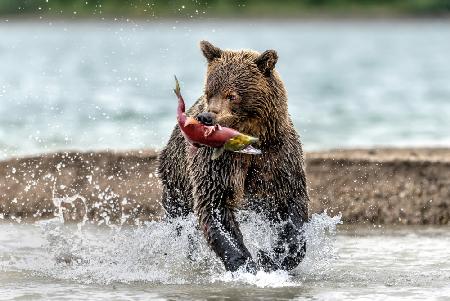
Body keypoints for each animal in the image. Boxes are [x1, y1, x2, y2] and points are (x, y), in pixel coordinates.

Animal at [158, 40, 310, 272]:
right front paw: (245, 263)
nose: (206, 117)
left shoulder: (278, 157)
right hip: (176, 178)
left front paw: (272, 257)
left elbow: (292, 203)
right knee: (180, 218)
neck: (251, 139)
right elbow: (215, 203)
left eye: (232, 95)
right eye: (209, 92)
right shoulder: (219, 162)